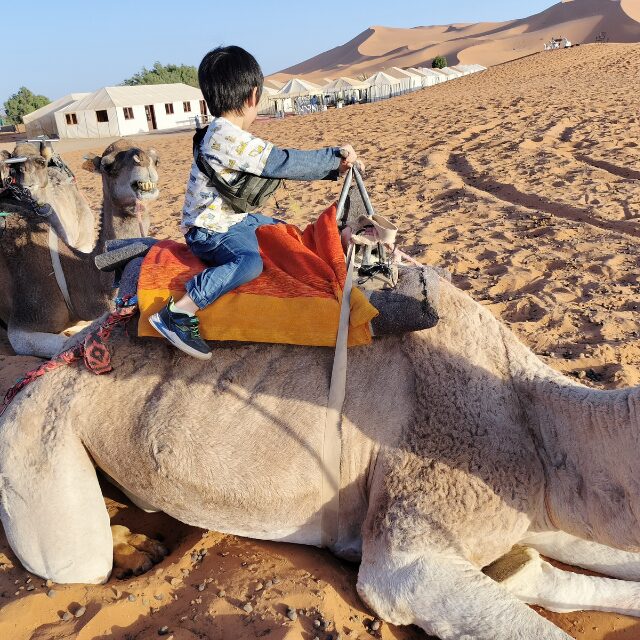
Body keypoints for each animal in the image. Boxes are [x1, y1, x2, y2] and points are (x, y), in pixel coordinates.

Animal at [1, 272, 640, 640]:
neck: (535, 419)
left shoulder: (536, 502)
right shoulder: (409, 552)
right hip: (35, 439)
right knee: (79, 562)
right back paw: (131, 548)